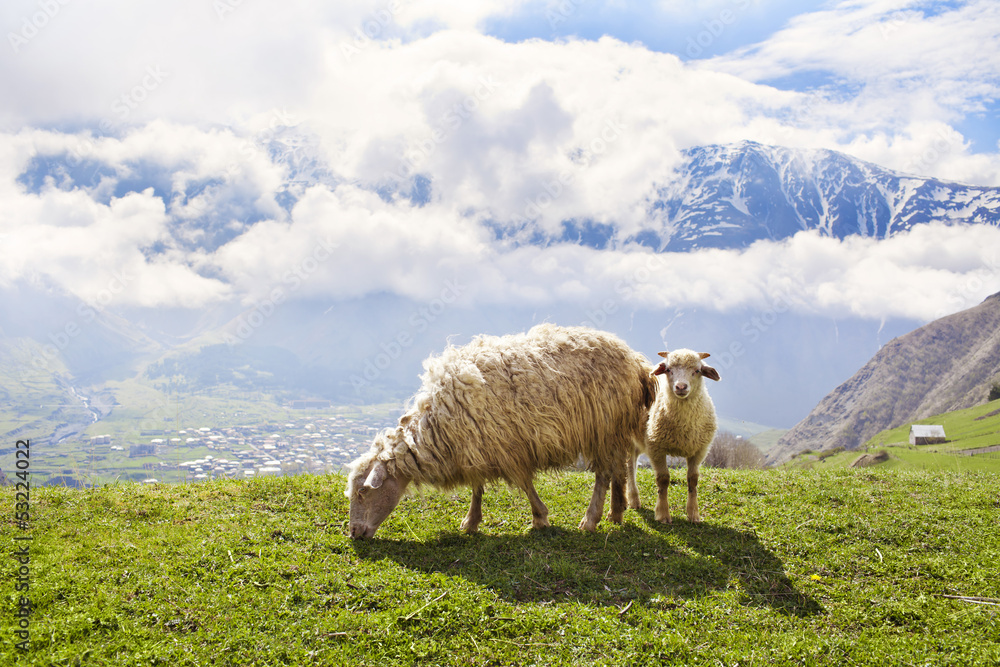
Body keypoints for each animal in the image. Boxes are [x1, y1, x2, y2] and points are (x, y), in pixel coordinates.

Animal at [345, 324, 657, 539]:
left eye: (362, 492)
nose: (354, 534)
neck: (436, 426)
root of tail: (635, 360)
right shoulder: (476, 446)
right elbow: (477, 488)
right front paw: (471, 521)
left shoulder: (508, 448)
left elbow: (525, 484)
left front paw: (540, 517)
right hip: (614, 429)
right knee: (618, 468)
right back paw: (616, 512)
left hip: (602, 427)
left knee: (603, 474)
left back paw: (591, 520)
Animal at [626, 349, 720, 523]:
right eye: (668, 369)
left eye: (697, 370)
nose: (681, 386)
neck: (683, 427)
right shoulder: (656, 447)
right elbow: (663, 479)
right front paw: (663, 514)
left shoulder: (700, 450)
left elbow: (693, 479)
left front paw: (693, 514)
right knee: (629, 467)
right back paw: (634, 499)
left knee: (633, 463)